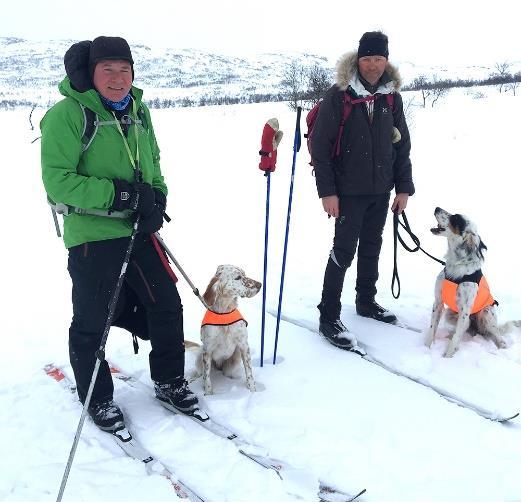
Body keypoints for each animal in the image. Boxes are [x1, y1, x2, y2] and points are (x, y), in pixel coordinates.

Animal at [195, 264, 260, 394]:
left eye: (244, 274)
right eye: (238, 277)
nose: (260, 284)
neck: (224, 314)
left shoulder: (244, 346)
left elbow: (249, 373)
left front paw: (253, 391)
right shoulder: (207, 350)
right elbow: (207, 377)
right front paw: (208, 394)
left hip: (235, 357)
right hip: (200, 355)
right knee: (202, 374)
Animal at [422, 207, 520, 356]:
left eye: (456, 218)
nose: (436, 208)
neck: (456, 264)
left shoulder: (464, 310)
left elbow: (456, 337)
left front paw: (447, 357)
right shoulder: (438, 302)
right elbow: (432, 329)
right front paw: (425, 349)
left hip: (486, 313)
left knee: (495, 334)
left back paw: (501, 346)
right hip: (450, 314)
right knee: (466, 329)